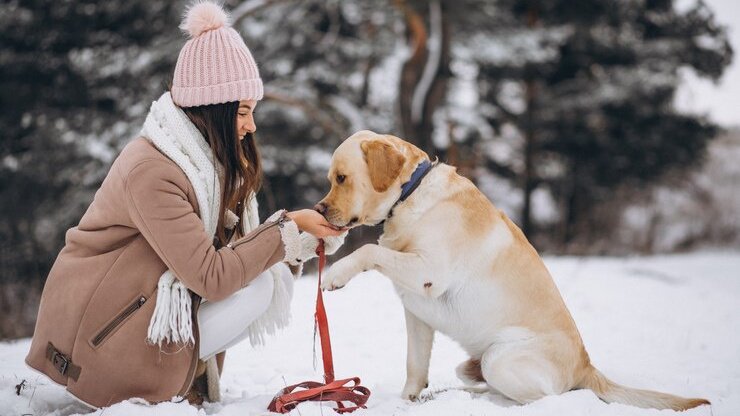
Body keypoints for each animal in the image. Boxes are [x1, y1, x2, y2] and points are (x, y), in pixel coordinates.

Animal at [316, 130, 708, 410]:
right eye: (331, 178)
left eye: (341, 178)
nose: (318, 210)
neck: (409, 196)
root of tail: (587, 367)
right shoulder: (417, 315)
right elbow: (415, 365)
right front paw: (408, 401)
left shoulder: (430, 272)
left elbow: (369, 249)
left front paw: (336, 275)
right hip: (478, 363)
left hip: (499, 360)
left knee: (546, 399)